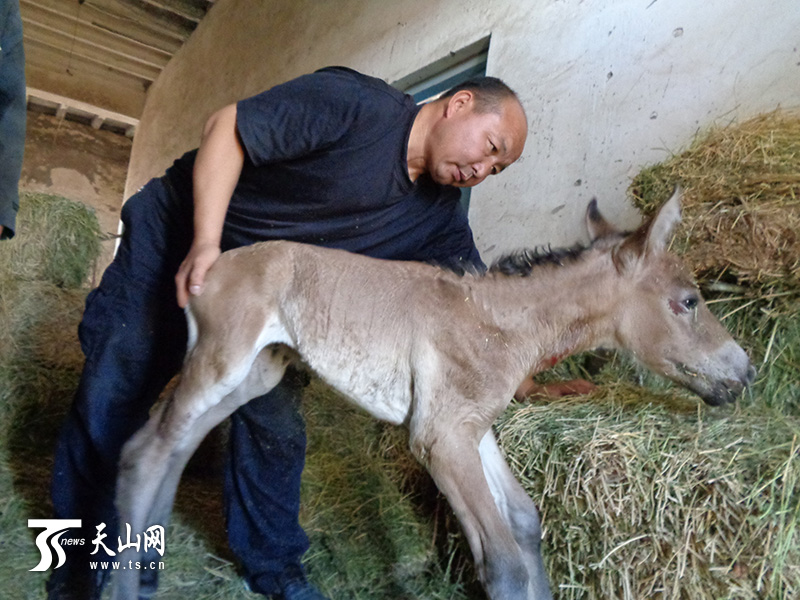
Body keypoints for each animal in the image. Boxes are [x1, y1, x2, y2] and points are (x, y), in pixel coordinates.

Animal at [112, 191, 756, 600]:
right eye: (688, 301)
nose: (744, 371)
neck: (498, 322)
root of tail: (211, 265)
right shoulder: (439, 439)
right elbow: (503, 566)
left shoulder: (472, 427)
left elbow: (524, 522)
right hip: (222, 359)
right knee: (143, 453)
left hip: (255, 373)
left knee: (174, 448)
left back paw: (147, 570)